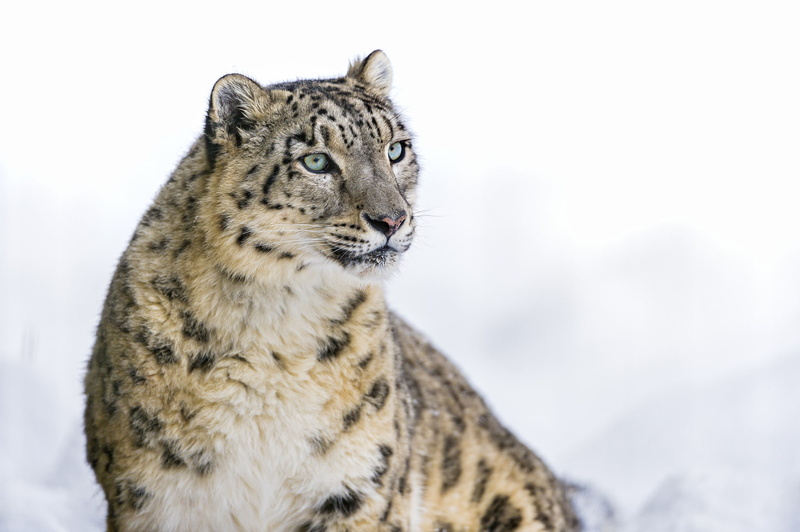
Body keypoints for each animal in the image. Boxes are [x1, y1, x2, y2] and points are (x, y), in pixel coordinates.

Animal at [84, 50, 581, 532]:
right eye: (316, 160)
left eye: (395, 149)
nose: (392, 219)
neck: (276, 328)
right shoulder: (157, 499)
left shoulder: (357, 491)